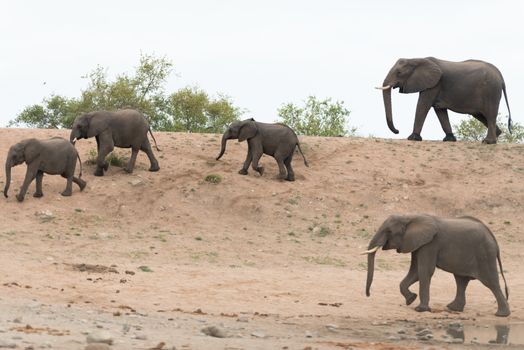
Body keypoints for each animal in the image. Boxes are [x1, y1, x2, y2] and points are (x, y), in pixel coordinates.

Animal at [362, 213, 510, 318]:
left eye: (389, 231)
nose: (368, 295)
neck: (409, 217)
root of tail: (493, 237)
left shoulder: (430, 244)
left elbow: (424, 271)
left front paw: (420, 310)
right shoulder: (418, 244)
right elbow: (415, 272)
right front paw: (411, 299)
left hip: (485, 255)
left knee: (491, 283)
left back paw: (502, 315)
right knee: (461, 280)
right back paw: (452, 308)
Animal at [374, 57, 512, 144]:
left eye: (399, 72)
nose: (397, 131)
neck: (416, 59)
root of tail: (501, 77)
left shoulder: (434, 84)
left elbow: (423, 105)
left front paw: (412, 138)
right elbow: (439, 110)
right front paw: (449, 139)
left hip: (491, 91)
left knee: (490, 114)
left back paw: (488, 142)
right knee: (481, 115)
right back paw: (496, 136)